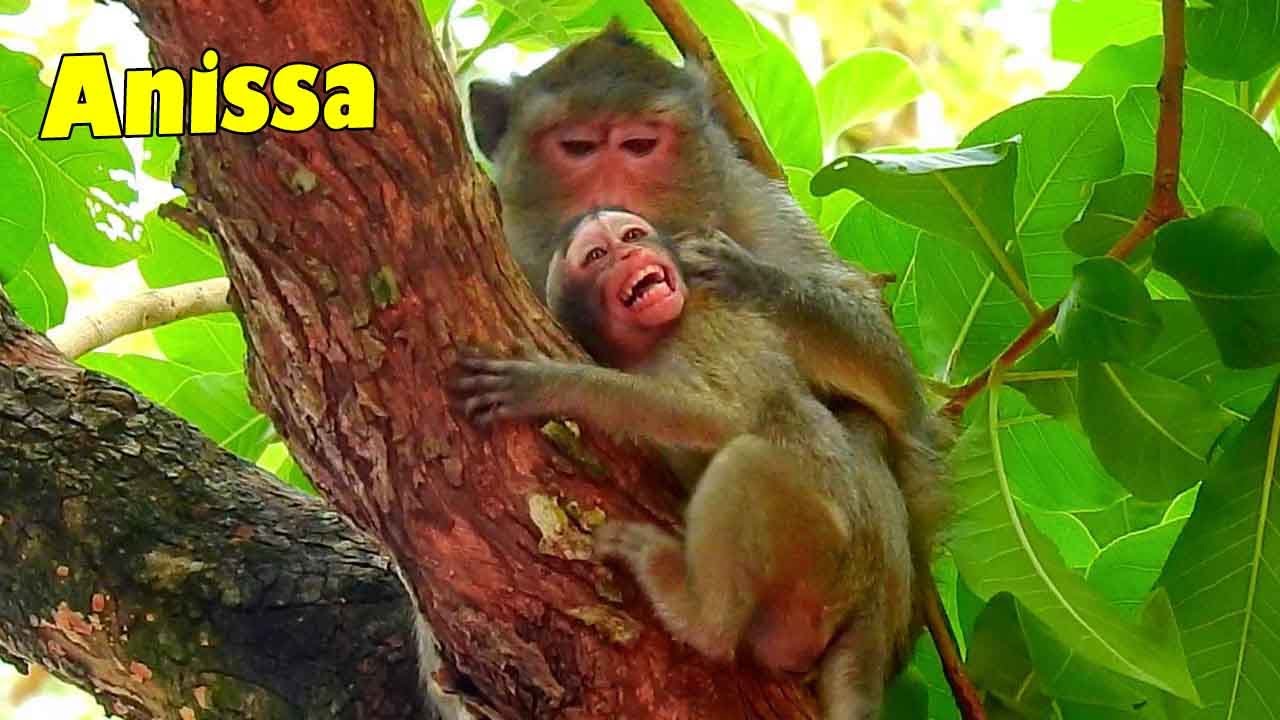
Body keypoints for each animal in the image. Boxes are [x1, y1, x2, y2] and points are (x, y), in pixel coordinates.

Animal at [449, 210, 914, 718]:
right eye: (598, 254)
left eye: (632, 236)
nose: (629, 254)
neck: (650, 345)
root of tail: (865, 604)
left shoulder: (705, 328)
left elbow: (726, 418)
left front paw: (554, 384)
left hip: (819, 566)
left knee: (746, 460)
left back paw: (700, 618)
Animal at [467, 22, 950, 618]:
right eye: (577, 148)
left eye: (640, 146)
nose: (608, 210)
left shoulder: (751, 200)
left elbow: (892, 375)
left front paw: (746, 274)